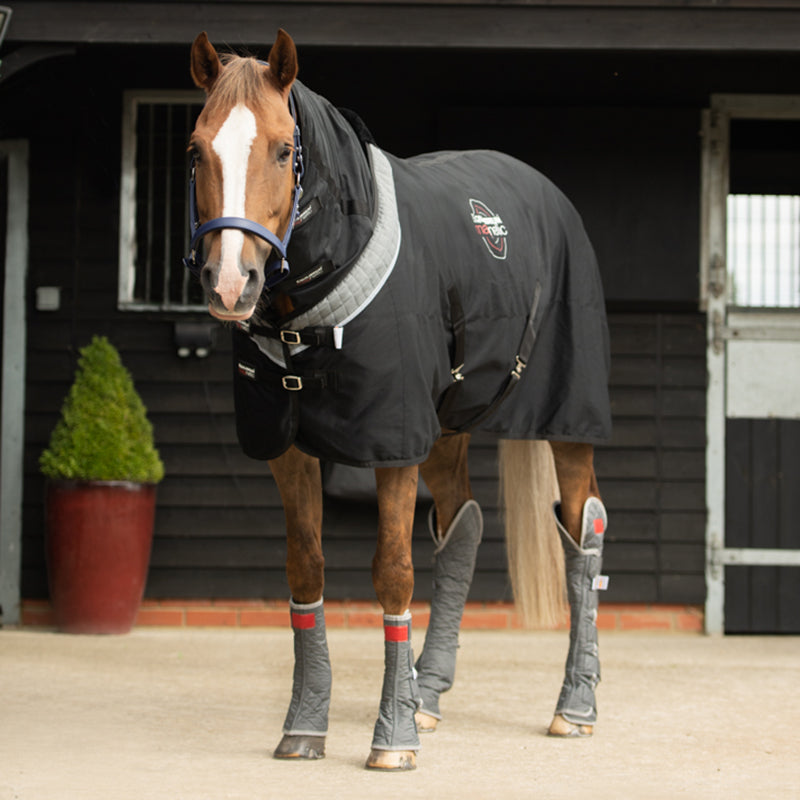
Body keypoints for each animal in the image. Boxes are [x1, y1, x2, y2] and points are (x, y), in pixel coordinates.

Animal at [186, 29, 612, 768]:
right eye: (195, 147)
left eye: (282, 149)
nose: (230, 282)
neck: (313, 312)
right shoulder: (288, 447)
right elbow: (306, 571)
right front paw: (306, 726)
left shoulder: (392, 443)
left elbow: (392, 572)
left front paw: (393, 738)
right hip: (445, 428)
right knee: (462, 525)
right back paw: (429, 692)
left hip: (566, 418)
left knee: (582, 528)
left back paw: (574, 705)